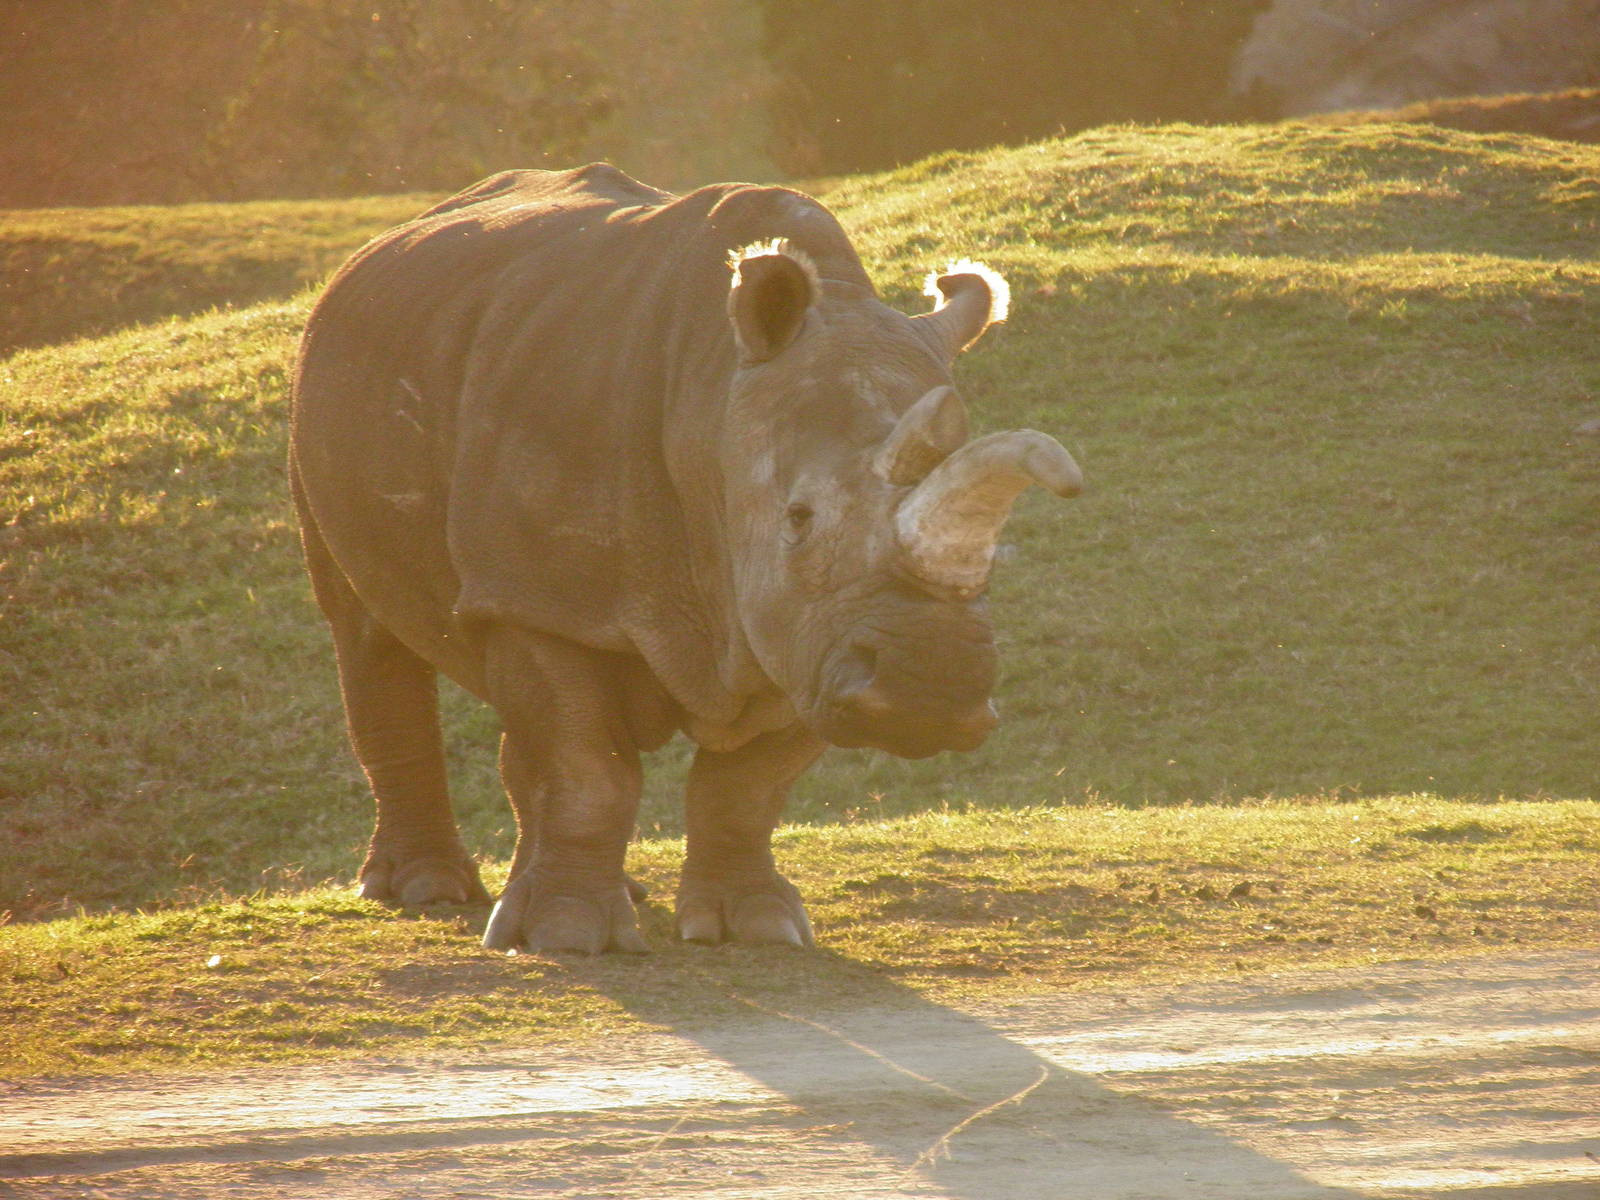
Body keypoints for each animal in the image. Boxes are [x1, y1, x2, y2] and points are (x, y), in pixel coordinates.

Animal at [289, 164, 1082, 955]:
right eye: (798, 519)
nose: (930, 692)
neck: (716, 412)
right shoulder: (545, 596)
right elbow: (585, 768)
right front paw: (567, 937)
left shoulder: (802, 634)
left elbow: (745, 788)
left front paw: (755, 928)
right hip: (320, 398)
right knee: (368, 635)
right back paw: (427, 891)